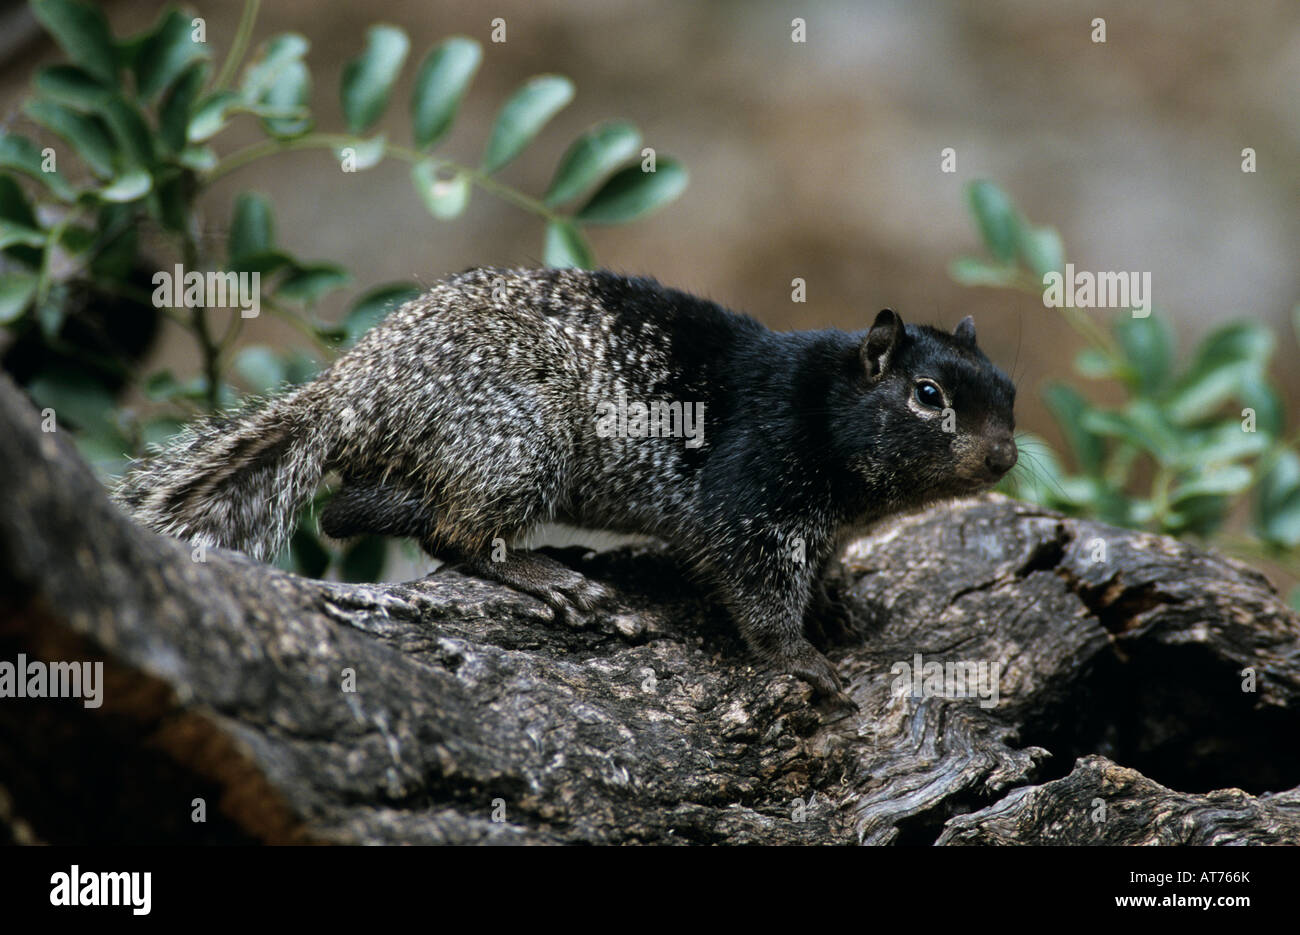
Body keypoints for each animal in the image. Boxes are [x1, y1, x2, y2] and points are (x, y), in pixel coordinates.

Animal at [114, 267, 1018, 706]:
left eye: (1008, 388)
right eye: (927, 395)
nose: (1006, 456)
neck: (824, 402)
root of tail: (348, 392)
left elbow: (818, 568)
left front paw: (839, 602)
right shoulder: (756, 499)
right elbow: (758, 591)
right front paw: (804, 659)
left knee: (356, 509)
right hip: (520, 441)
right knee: (447, 530)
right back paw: (554, 577)